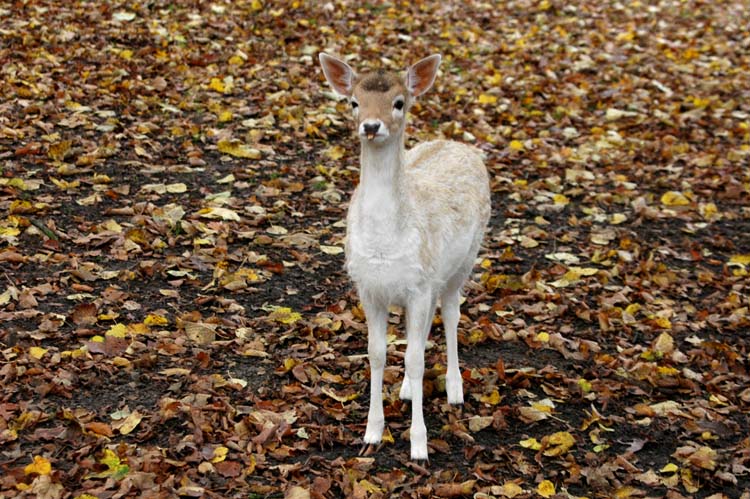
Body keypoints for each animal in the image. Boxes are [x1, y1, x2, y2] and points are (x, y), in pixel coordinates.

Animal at [318, 52, 491, 460]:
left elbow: (414, 358)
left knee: (451, 315)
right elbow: (377, 353)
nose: (370, 126)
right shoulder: (369, 287)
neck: (385, 244)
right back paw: (410, 390)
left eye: (399, 102)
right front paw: (371, 432)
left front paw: (419, 445)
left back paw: (455, 388)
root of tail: (457, 143)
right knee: (426, 324)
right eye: (354, 102)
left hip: (464, 261)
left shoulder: (419, 285)